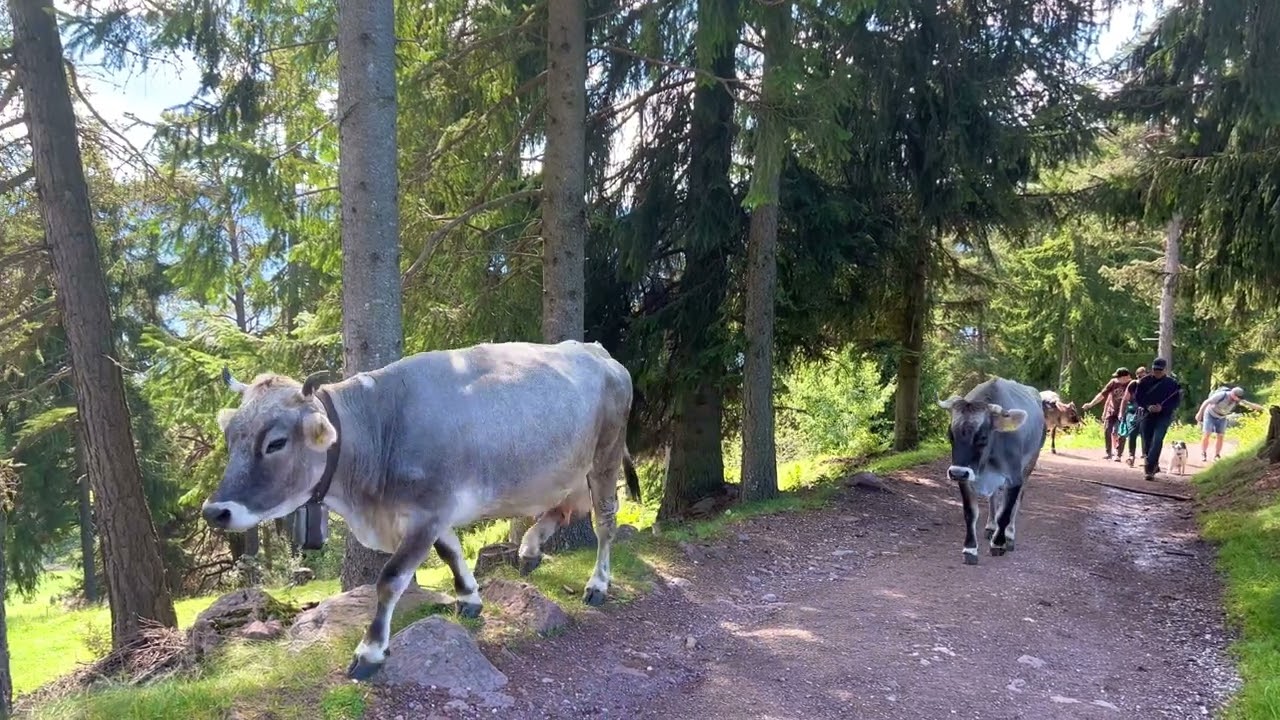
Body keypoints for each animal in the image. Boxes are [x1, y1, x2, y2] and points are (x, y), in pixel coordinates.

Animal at [201, 340, 642, 680]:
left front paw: (370, 651)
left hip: (604, 457)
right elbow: (451, 552)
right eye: (230, 437)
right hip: (567, 469)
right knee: (562, 510)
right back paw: (530, 549)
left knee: (604, 522)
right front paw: (469, 598)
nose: (214, 511)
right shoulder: (433, 513)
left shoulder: (426, 513)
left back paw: (597, 584)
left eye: (275, 443)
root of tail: (598, 351)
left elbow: (391, 579)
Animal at [937, 377, 1045, 565]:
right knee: (994, 497)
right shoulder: (966, 478)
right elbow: (970, 513)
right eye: (950, 435)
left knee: (1017, 502)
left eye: (982, 437)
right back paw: (990, 526)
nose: (956, 473)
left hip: (1029, 466)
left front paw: (998, 544)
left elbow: (1006, 512)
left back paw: (1009, 535)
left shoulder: (1014, 479)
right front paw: (970, 549)